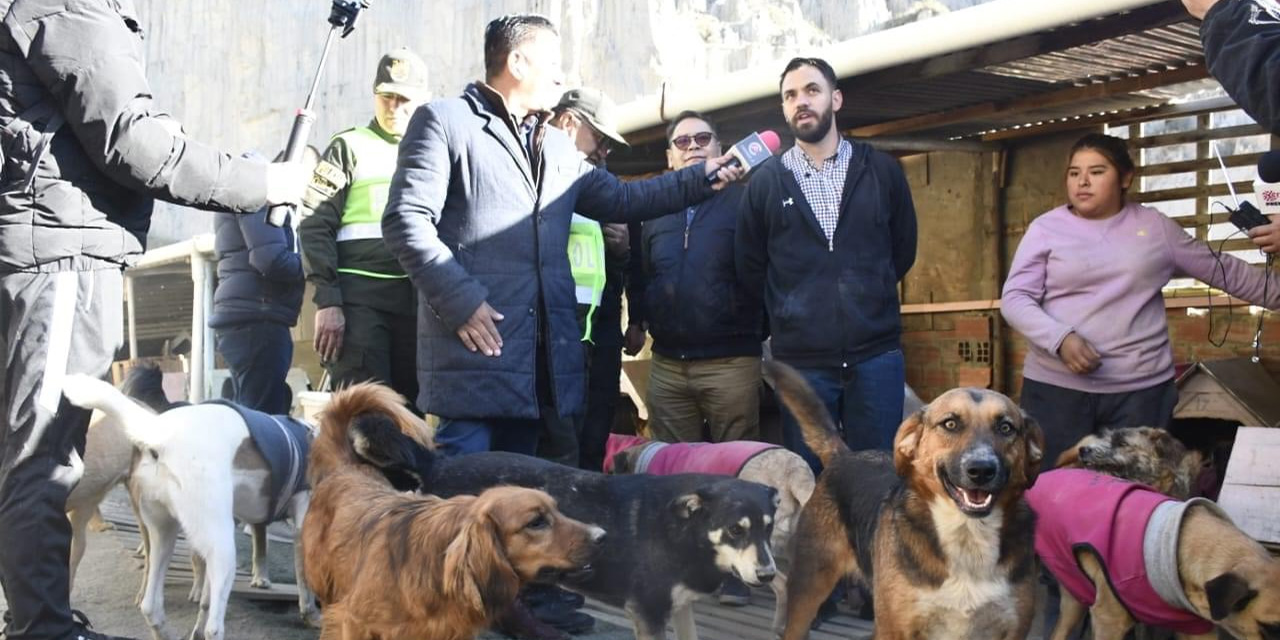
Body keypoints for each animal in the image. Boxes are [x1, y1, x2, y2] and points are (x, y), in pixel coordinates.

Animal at [63, 373, 320, 640]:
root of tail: (158, 430)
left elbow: (206, 600)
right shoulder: (303, 528)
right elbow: (305, 581)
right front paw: (311, 614)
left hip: (164, 533)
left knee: (151, 606)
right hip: (221, 546)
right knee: (214, 628)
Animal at [768, 360, 1049, 640]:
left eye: (1006, 428)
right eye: (950, 424)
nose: (981, 469)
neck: (967, 533)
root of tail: (844, 456)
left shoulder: (1014, 630)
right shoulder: (895, 629)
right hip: (808, 589)